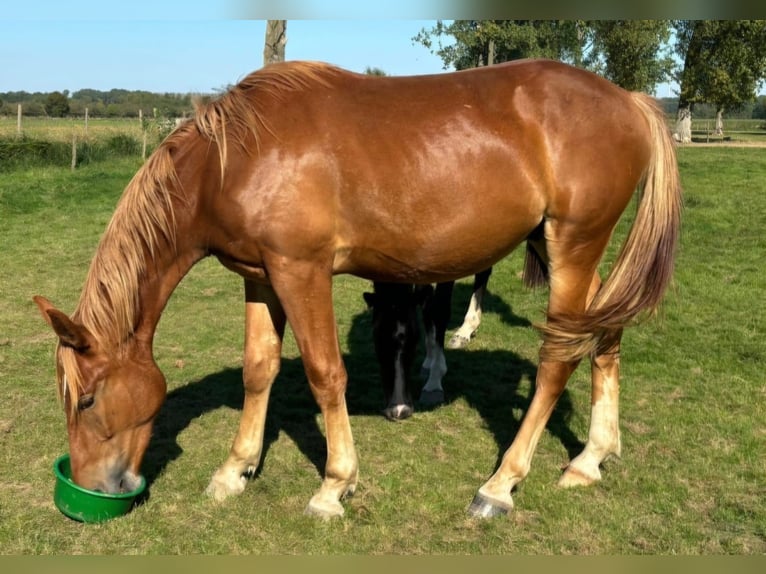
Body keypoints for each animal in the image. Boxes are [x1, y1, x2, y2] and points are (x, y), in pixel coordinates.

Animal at [34, 59, 684, 520]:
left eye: (86, 400)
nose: (93, 486)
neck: (235, 158)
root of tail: (628, 100)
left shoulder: (301, 271)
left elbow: (325, 374)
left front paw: (333, 486)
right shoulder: (260, 278)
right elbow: (258, 371)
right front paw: (233, 471)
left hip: (573, 246)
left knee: (557, 358)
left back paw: (500, 485)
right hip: (569, 252)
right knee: (605, 338)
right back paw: (589, 459)